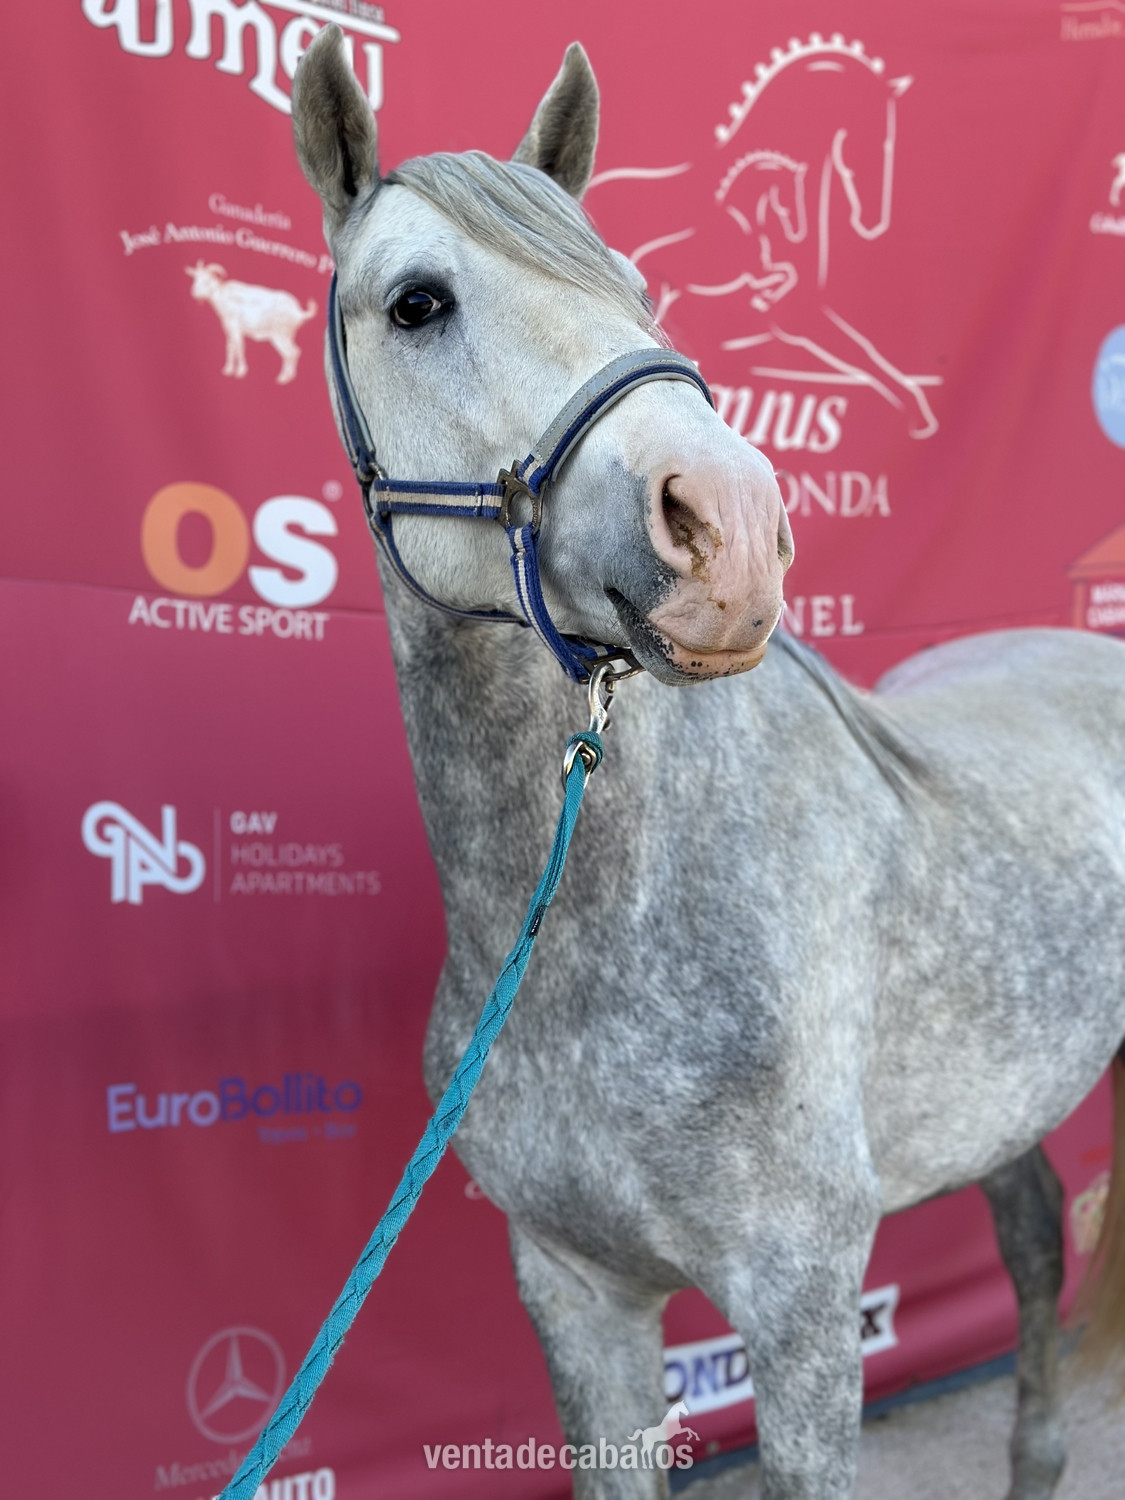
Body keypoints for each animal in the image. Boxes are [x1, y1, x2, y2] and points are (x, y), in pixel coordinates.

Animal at [291, 28, 1125, 1499]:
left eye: (636, 288)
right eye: (416, 303)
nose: (729, 526)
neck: (596, 926)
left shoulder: (800, 1310)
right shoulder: (578, 1292)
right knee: (1031, 1244)